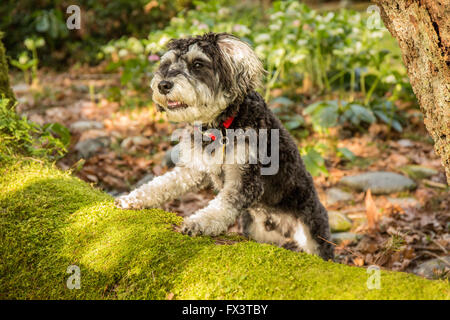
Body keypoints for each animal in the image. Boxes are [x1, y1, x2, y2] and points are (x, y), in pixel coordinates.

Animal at [115, 33, 334, 260]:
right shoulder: (193, 169)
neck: (219, 127)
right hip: (257, 230)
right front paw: (133, 198)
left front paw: (199, 222)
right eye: (166, 64)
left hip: (312, 231)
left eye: (197, 64)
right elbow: (163, 183)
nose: (163, 85)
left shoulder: (245, 179)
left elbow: (222, 205)